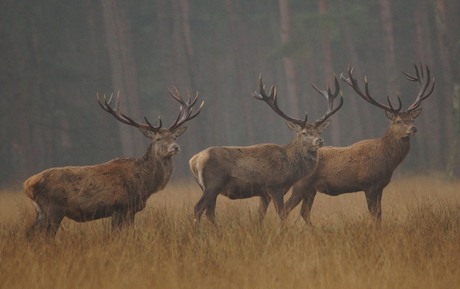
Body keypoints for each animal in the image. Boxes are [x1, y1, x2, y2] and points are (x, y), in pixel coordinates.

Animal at [23, 88, 203, 236]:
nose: (175, 147)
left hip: (42, 212)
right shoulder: (119, 206)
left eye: (174, 137)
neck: (145, 184)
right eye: (158, 139)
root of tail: (27, 185)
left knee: (30, 234)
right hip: (53, 209)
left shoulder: (130, 210)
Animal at [189, 74, 344, 223]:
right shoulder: (275, 186)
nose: (319, 140)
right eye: (304, 132)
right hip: (213, 184)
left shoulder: (264, 193)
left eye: (319, 132)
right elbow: (282, 214)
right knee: (198, 208)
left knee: (209, 212)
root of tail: (194, 161)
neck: (290, 167)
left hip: (207, 187)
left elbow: (259, 216)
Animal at [284, 64, 434, 224]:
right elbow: (374, 215)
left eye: (412, 119)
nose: (414, 129)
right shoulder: (369, 184)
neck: (387, 160)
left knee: (304, 211)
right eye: (398, 121)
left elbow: (379, 214)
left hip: (310, 190)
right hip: (300, 185)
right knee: (286, 208)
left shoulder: (381, 186)